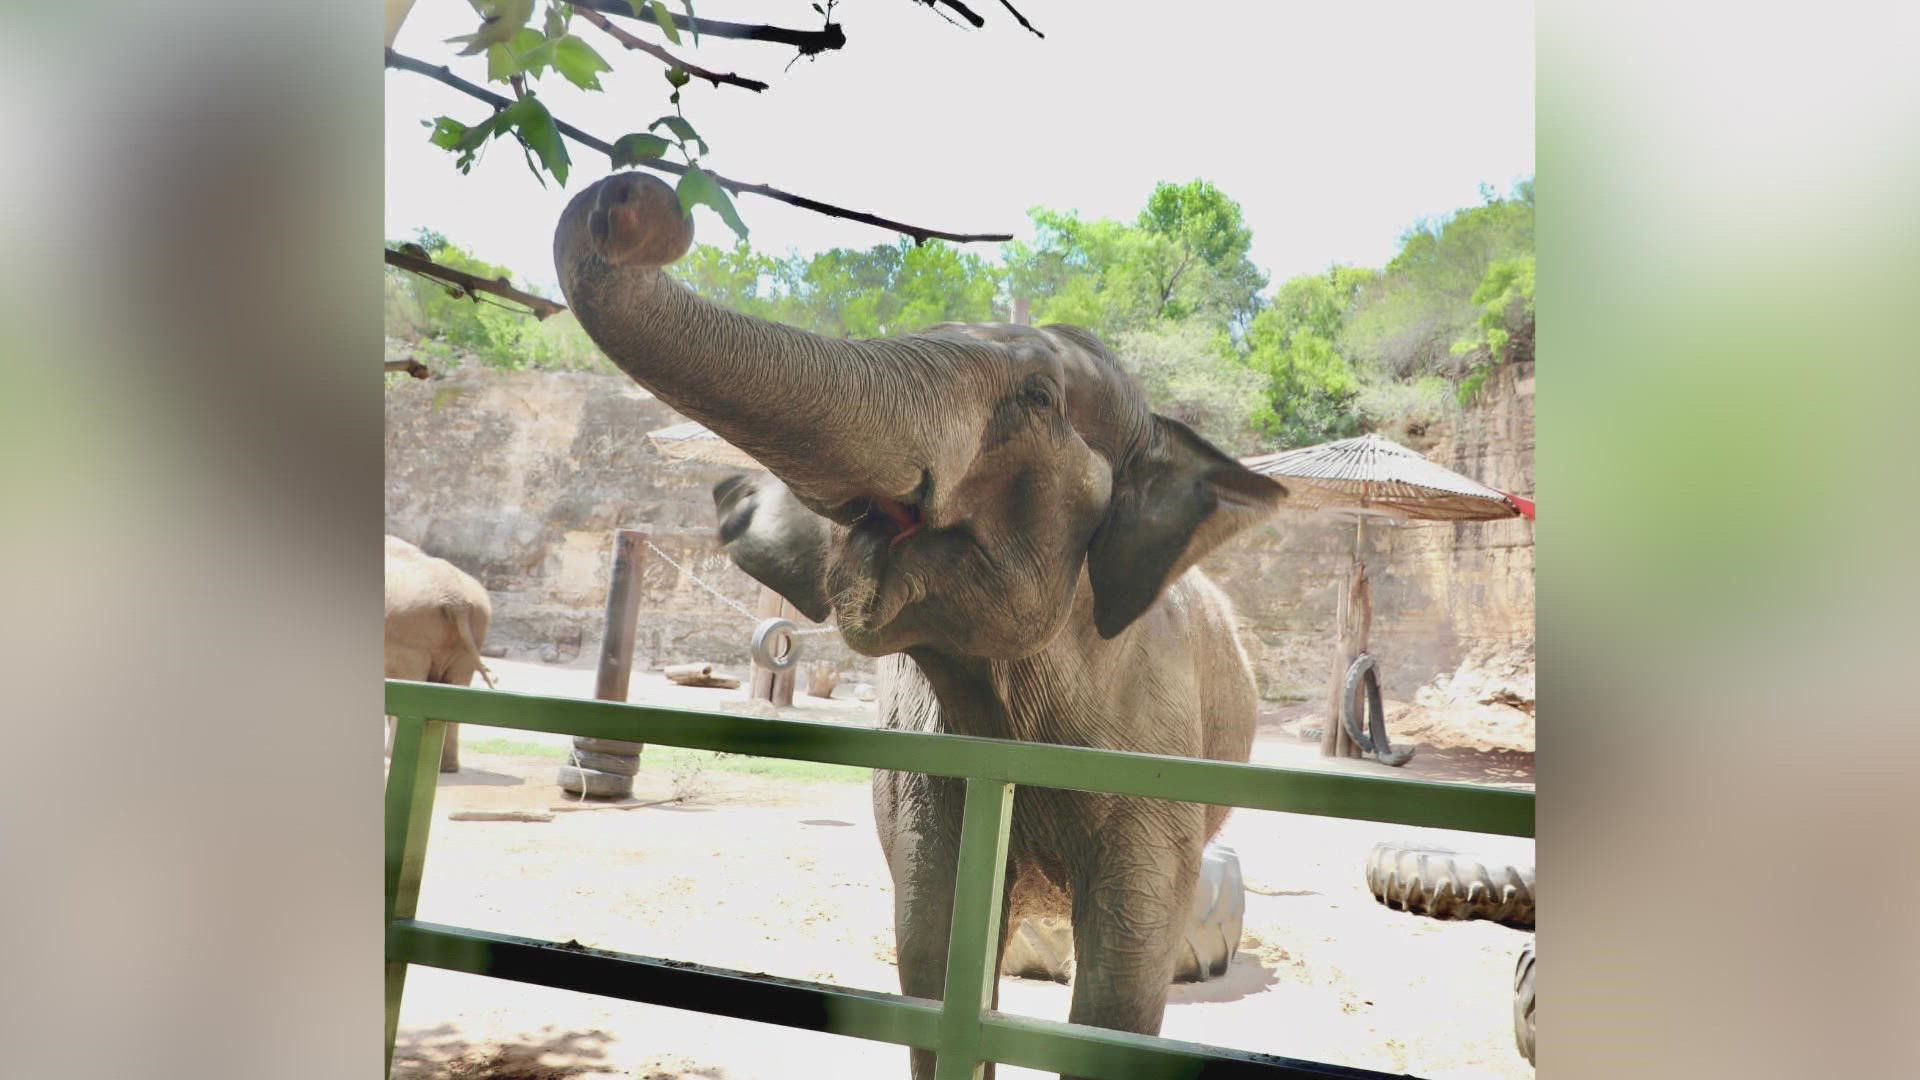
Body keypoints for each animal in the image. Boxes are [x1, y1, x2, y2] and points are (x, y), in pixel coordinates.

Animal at [384, 534, 495, 768]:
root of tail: (456, 597)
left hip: (409, 633)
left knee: (409, 681)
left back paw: (392, 758)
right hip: (474, 630)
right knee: (458, 684)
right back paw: (449, 767)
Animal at [549, 171, 1282, 1068]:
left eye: (1038, 396)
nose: (635, 196)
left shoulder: (1156, 758)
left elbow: (1121, 995)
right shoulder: (926, 770)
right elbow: (932, 960)